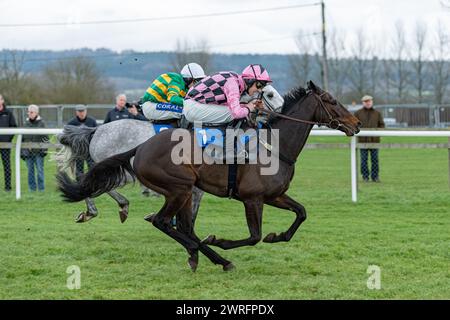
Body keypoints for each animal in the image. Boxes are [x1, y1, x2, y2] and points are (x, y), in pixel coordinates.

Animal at [54, 86, 284, 224]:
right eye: (270, 94)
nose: (282, 111)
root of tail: (97, 130)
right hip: (121, 170)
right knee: (95, 183)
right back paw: (113, 207)